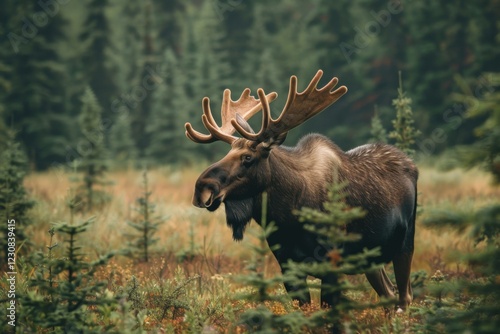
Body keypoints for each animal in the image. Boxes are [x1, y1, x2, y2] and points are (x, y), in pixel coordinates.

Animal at [184, 70, 418, 314]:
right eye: (227, 153)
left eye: (248, 157)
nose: (202, 187)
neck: (288, 215)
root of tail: (411, 164)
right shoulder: (286, 264)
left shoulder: (330, 260)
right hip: (370, 257)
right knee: (388, 294)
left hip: (405, 242)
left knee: (404, 296)